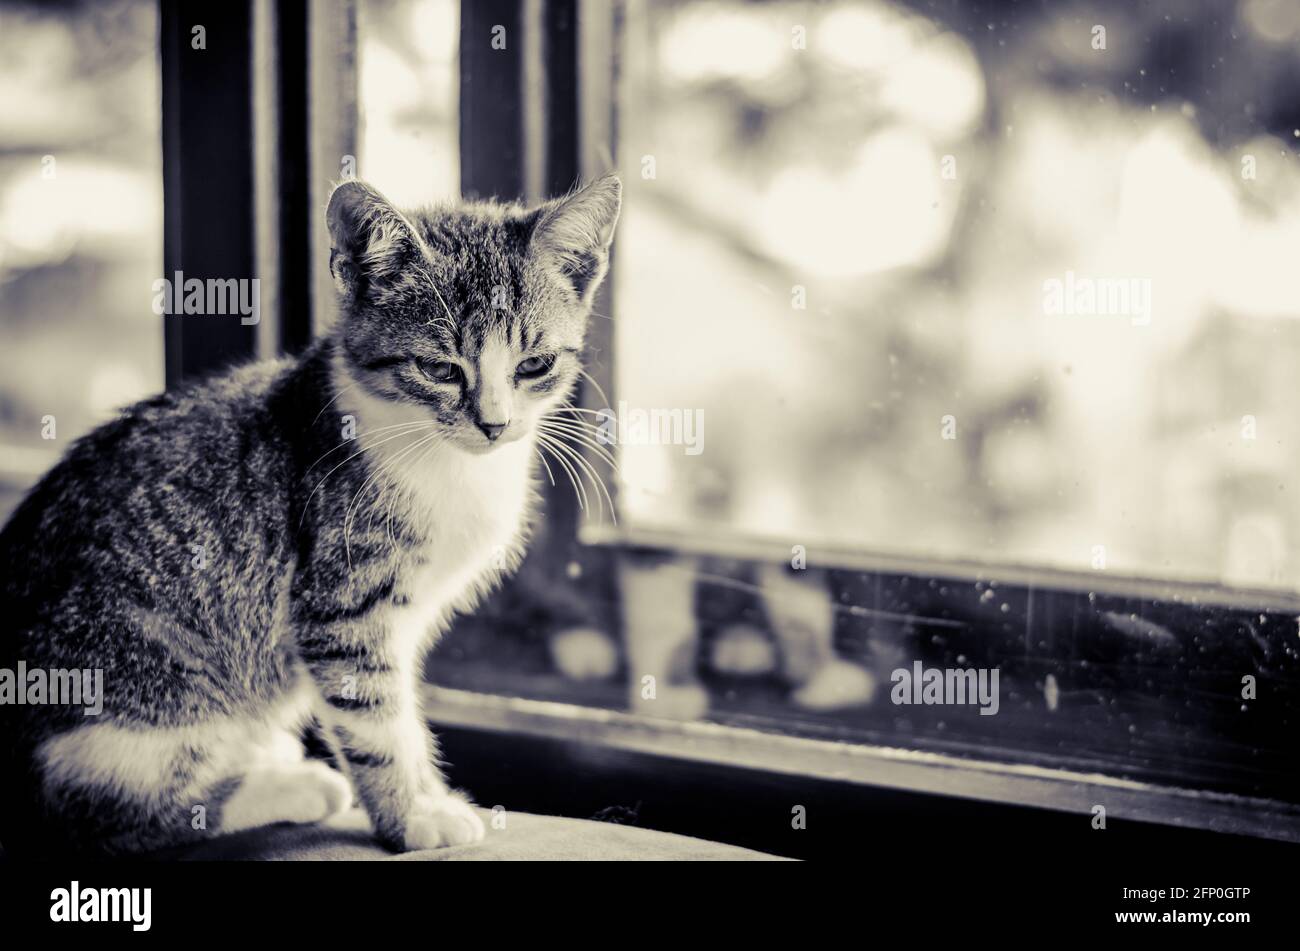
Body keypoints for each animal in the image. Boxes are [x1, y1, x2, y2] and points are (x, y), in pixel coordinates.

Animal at [0, 174, 624, 857]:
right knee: (114, 812)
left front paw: (420, 799)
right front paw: (414, 816)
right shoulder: (342, 603)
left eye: (534, 365)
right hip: (136, 689)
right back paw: (286, 786)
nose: (495, 424)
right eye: (438, 369)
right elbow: (378, 722)